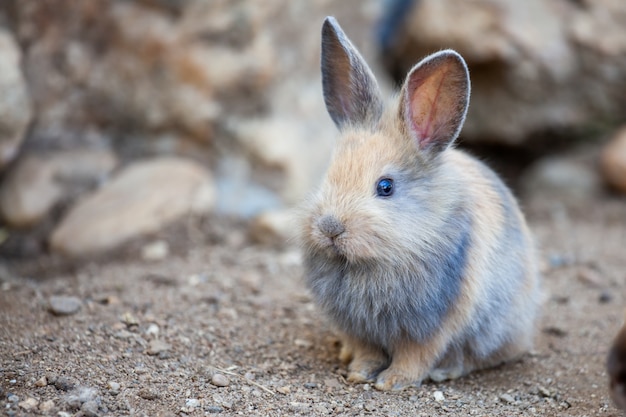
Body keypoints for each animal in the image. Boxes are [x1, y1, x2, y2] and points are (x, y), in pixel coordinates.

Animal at [294, 17, 540, 390]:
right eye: (329, 173)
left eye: (385, 187)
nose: (330, 228)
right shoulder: (357, 327)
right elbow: (366, 351)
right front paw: (359, 373)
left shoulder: (431, 326)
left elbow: (416, 356)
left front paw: (392, 382)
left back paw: (447, 370)